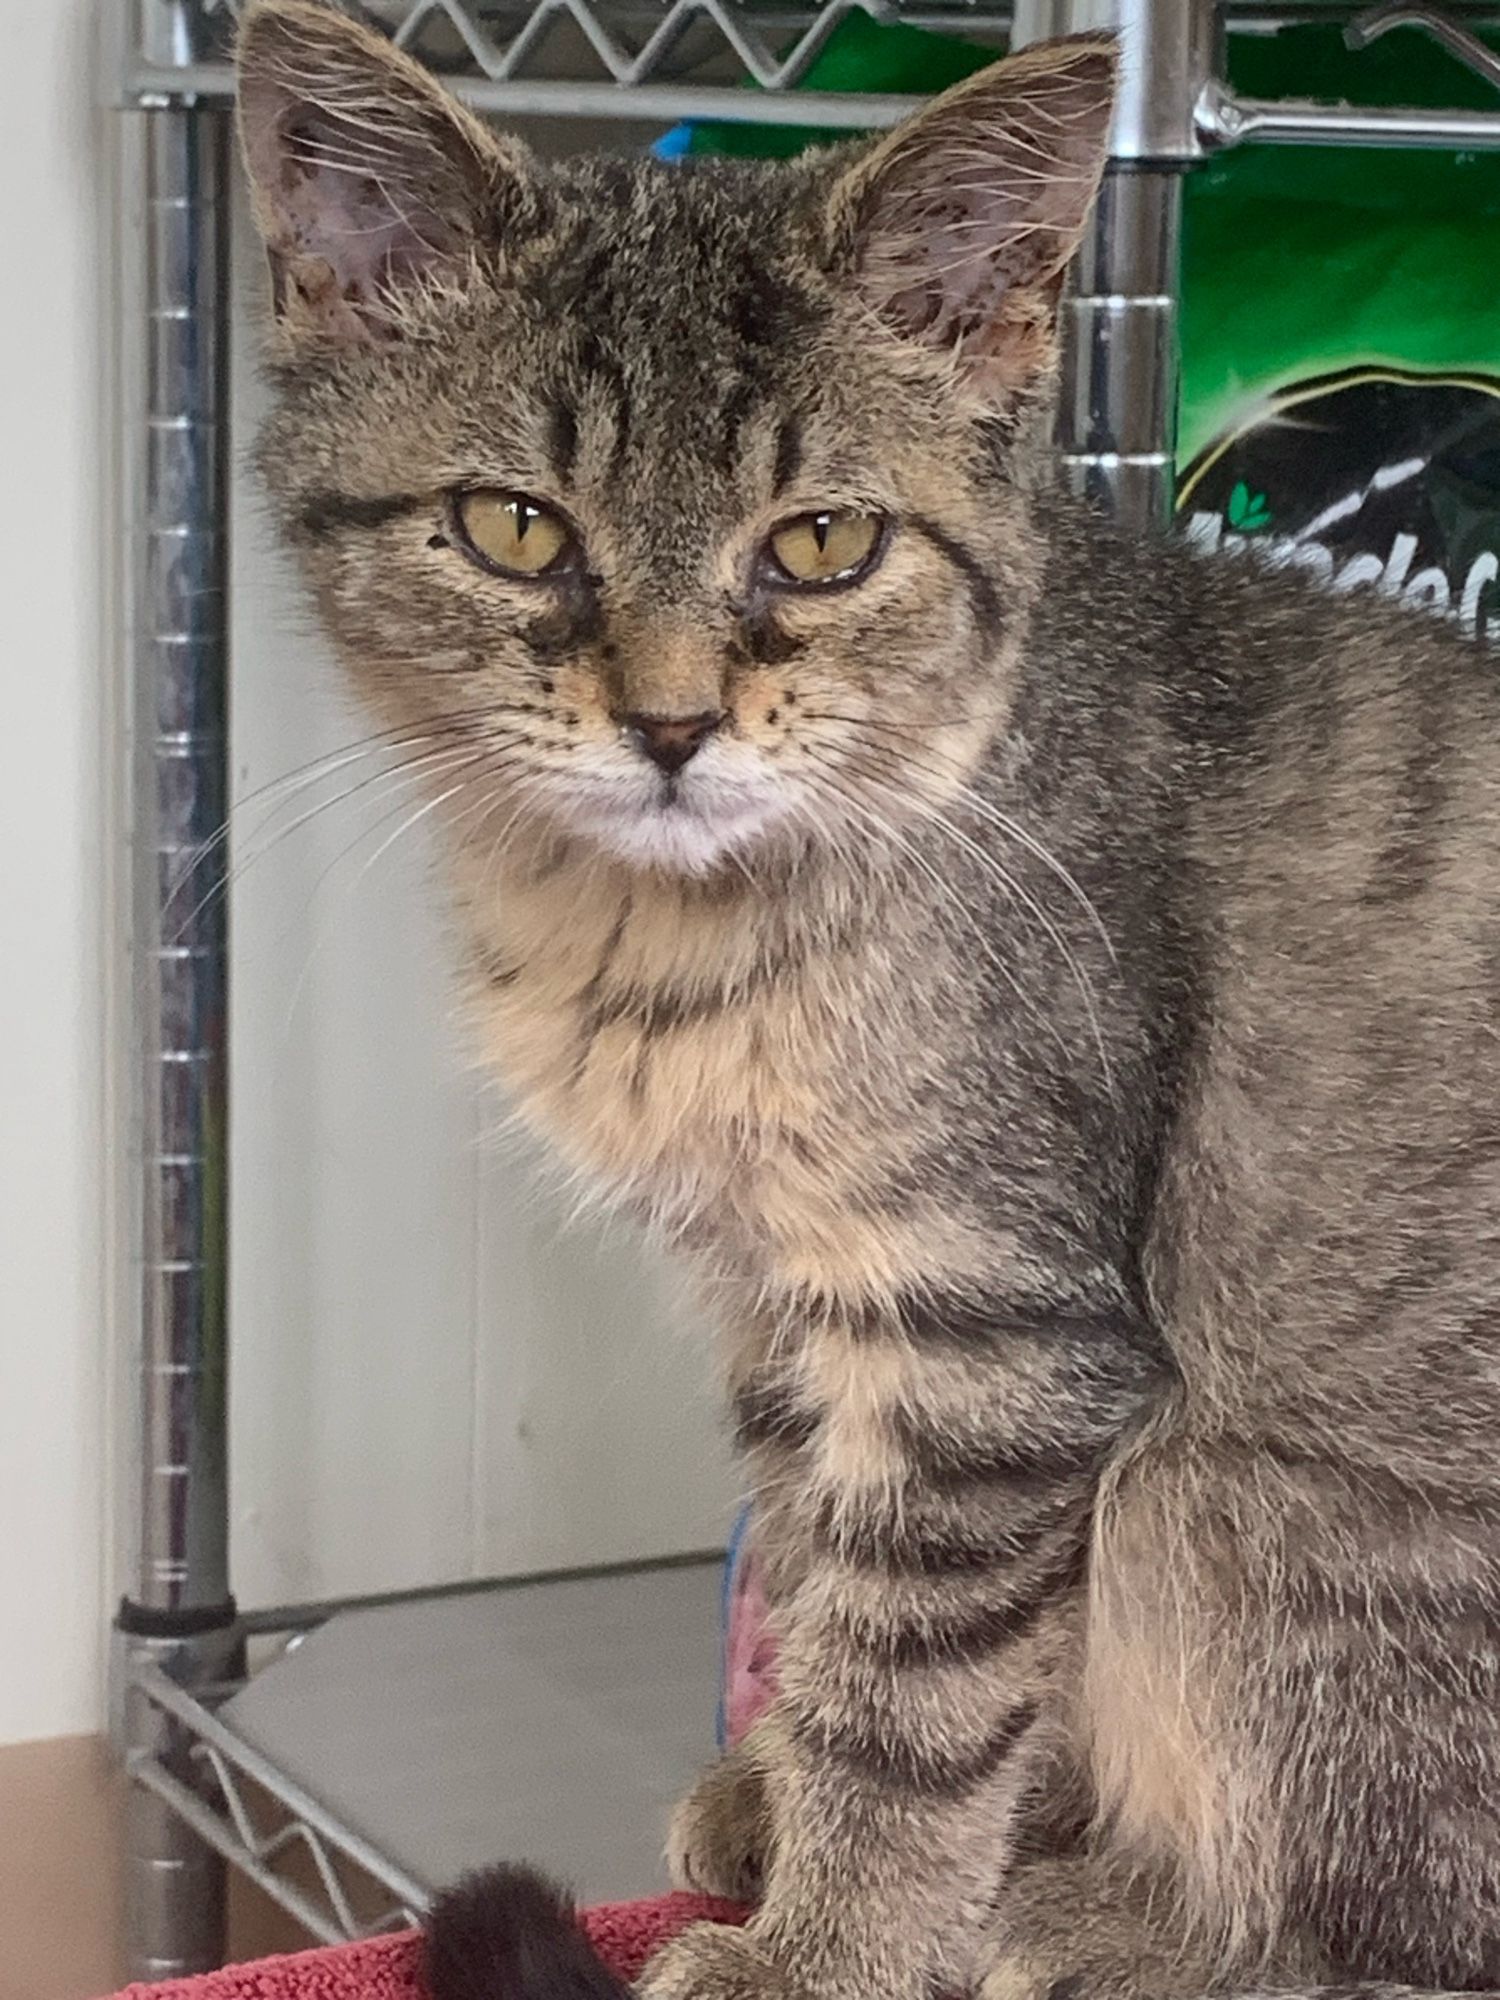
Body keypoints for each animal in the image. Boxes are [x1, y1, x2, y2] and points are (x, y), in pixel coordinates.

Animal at [238, 11, 1500, 2000]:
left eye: (823, 542)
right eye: (514, 527)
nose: (672, 723)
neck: (660, 936)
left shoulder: (994, 1329)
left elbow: (917, 1685)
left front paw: (832, 1941)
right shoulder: (779, 1303)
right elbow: (827, 1576)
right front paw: (779, 1793)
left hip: (1219, 1506)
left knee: (1400, 1942)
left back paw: (1121, 1925)